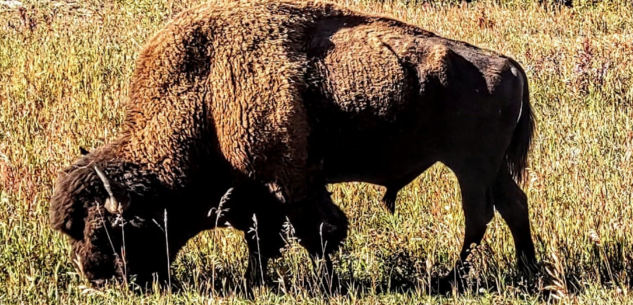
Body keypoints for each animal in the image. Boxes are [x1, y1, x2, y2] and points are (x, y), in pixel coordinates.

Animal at [48, 0, 532, 294]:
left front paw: (328, 284)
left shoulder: (289, 182)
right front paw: (255, 281)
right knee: (512, 206)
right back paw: (525, 270)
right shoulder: (258, 191)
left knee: (479, 217)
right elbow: (262, 237)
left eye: (106, 233)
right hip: (490, 169)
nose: (96, 277)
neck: (203, 92)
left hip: (469, 167)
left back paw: (450, 279)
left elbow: (318, 232)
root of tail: (507, 64)